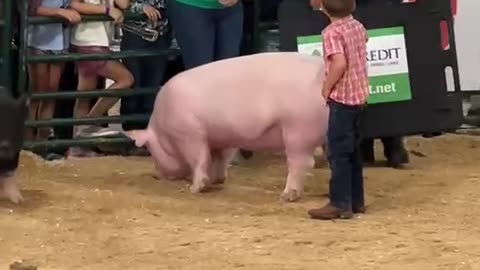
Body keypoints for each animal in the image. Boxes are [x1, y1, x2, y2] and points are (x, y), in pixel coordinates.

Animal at [127, 51, 328, 201]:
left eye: (150, 149)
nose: (155, 174)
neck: (162, 127)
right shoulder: (224, 138)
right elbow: (219, 158)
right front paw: (218, 180)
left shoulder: (189, 134)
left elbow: (199, 159)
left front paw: (196, 188)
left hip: (297, 129)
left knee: (301, 162)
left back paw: (286, 196)